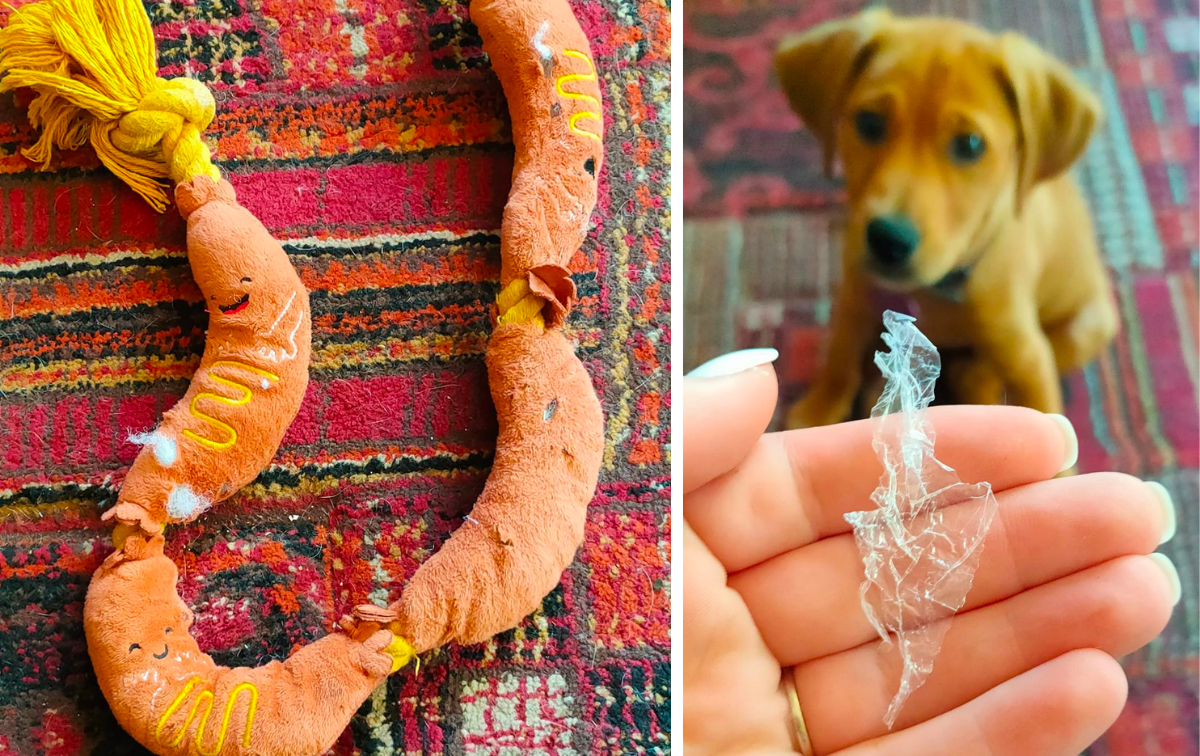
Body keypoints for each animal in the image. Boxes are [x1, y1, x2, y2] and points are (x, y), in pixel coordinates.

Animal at [777, 8, 1113, 429]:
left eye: (969, 144)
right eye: (869, 122)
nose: (889, 239)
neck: (935, 291)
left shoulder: (1029, 358)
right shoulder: (854, 295)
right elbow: (840, 354)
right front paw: (819, 409)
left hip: (1088, 326)